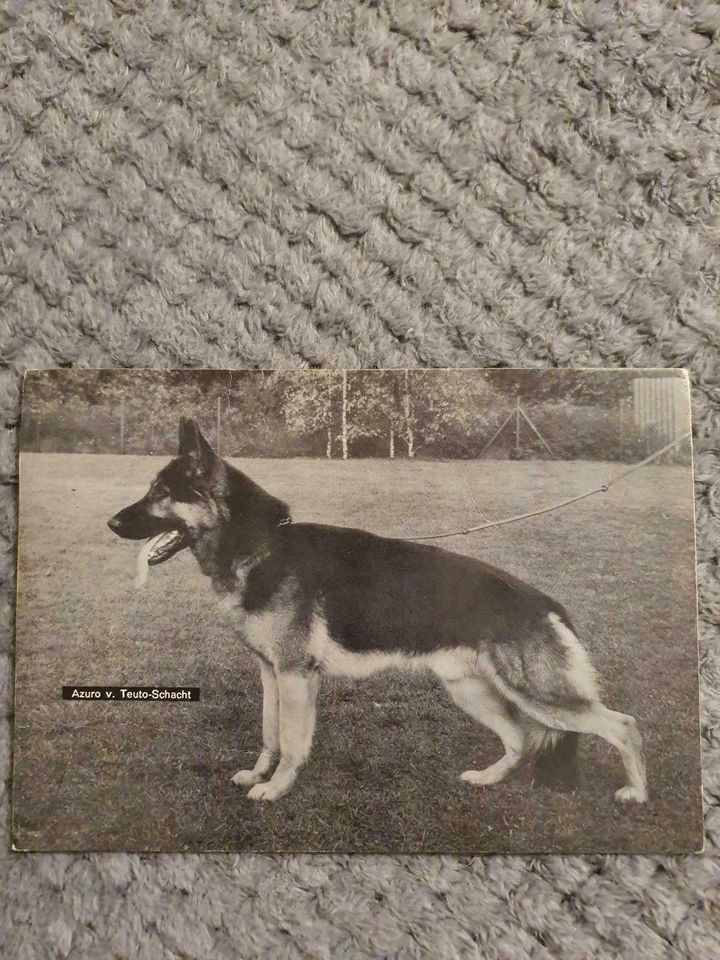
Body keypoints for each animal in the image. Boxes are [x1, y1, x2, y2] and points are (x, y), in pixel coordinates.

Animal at [107, 418, 648, 804]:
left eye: (160, 494)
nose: (110, 523)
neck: (261, 546)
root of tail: (546, 602)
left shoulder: (295, 674)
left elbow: (292, 740)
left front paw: (277, 788)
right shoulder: (270, 672)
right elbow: (269, 732)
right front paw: (259, 774)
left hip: (535, 693)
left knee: (622, 725)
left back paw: (636, 793)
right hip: (470, 689)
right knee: (522, 739)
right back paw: (487, 779)